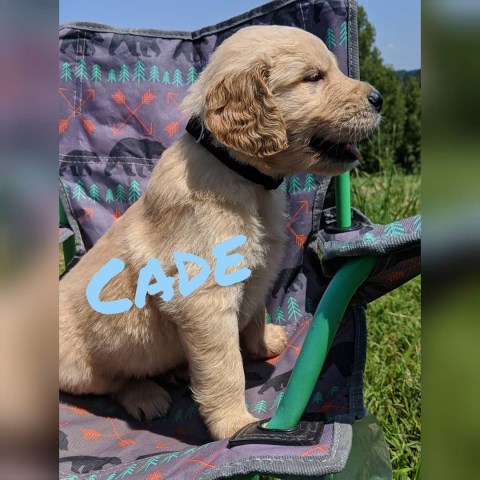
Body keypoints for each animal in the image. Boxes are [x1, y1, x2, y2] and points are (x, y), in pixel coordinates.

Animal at [60, 25, 382, 438]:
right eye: (313, 77)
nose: (379, 99)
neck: (243, 175)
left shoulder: (256, 270)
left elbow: (256, 312)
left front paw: (265, 342)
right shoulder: (205, 298)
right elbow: (226, 367)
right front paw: (235, 425)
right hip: (83, 366)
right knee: (116, 381)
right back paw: (147, 395)